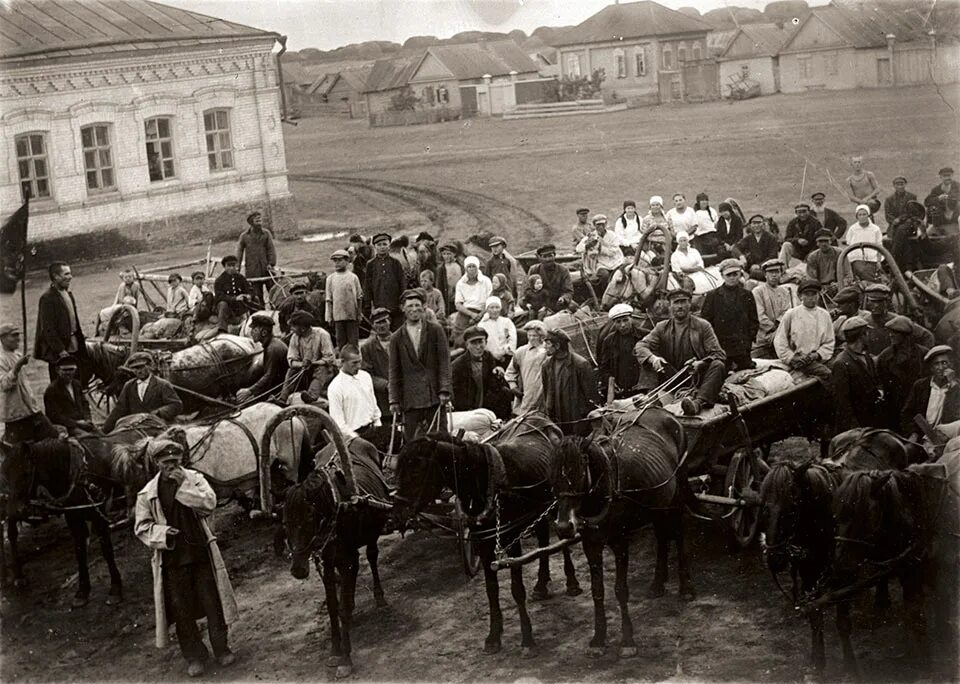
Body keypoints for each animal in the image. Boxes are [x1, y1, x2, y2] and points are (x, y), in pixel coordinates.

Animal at [284, 438, 388, 680]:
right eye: (285, 521)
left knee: (372, 556)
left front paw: (346, 659)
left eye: (309, 516)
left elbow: (342, 609)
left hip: (372, 532)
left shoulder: (347, 558)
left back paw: (379, 596)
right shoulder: (326, 563)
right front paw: (334, 651)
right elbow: (333, 607)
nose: (298, 570)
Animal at [388, 412, 576, 656]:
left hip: (554, 504)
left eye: (417, 468)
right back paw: (541, 585)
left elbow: (517, 589)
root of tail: (542, 419)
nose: (397, 513)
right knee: (543, 539)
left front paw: (527, 637)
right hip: (537, 510)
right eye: (398, 468)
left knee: (562, 539)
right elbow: (491, 589)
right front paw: (494, 636)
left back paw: (572, 583)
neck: (486, 483)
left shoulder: (512, 539)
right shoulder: (484, 541)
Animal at [548, 406, 696, 656]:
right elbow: (597, 590)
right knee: (661, 535)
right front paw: (599, 638)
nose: (564, 527)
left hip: (678, 494)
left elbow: (620, 589)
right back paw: (657, 583)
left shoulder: (620, 542)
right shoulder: (591, 544)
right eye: (553, 476)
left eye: (580, 472)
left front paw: (627, 640)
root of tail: (663, 412)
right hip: (657, 503)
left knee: (679, 532)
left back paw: (685, 587)